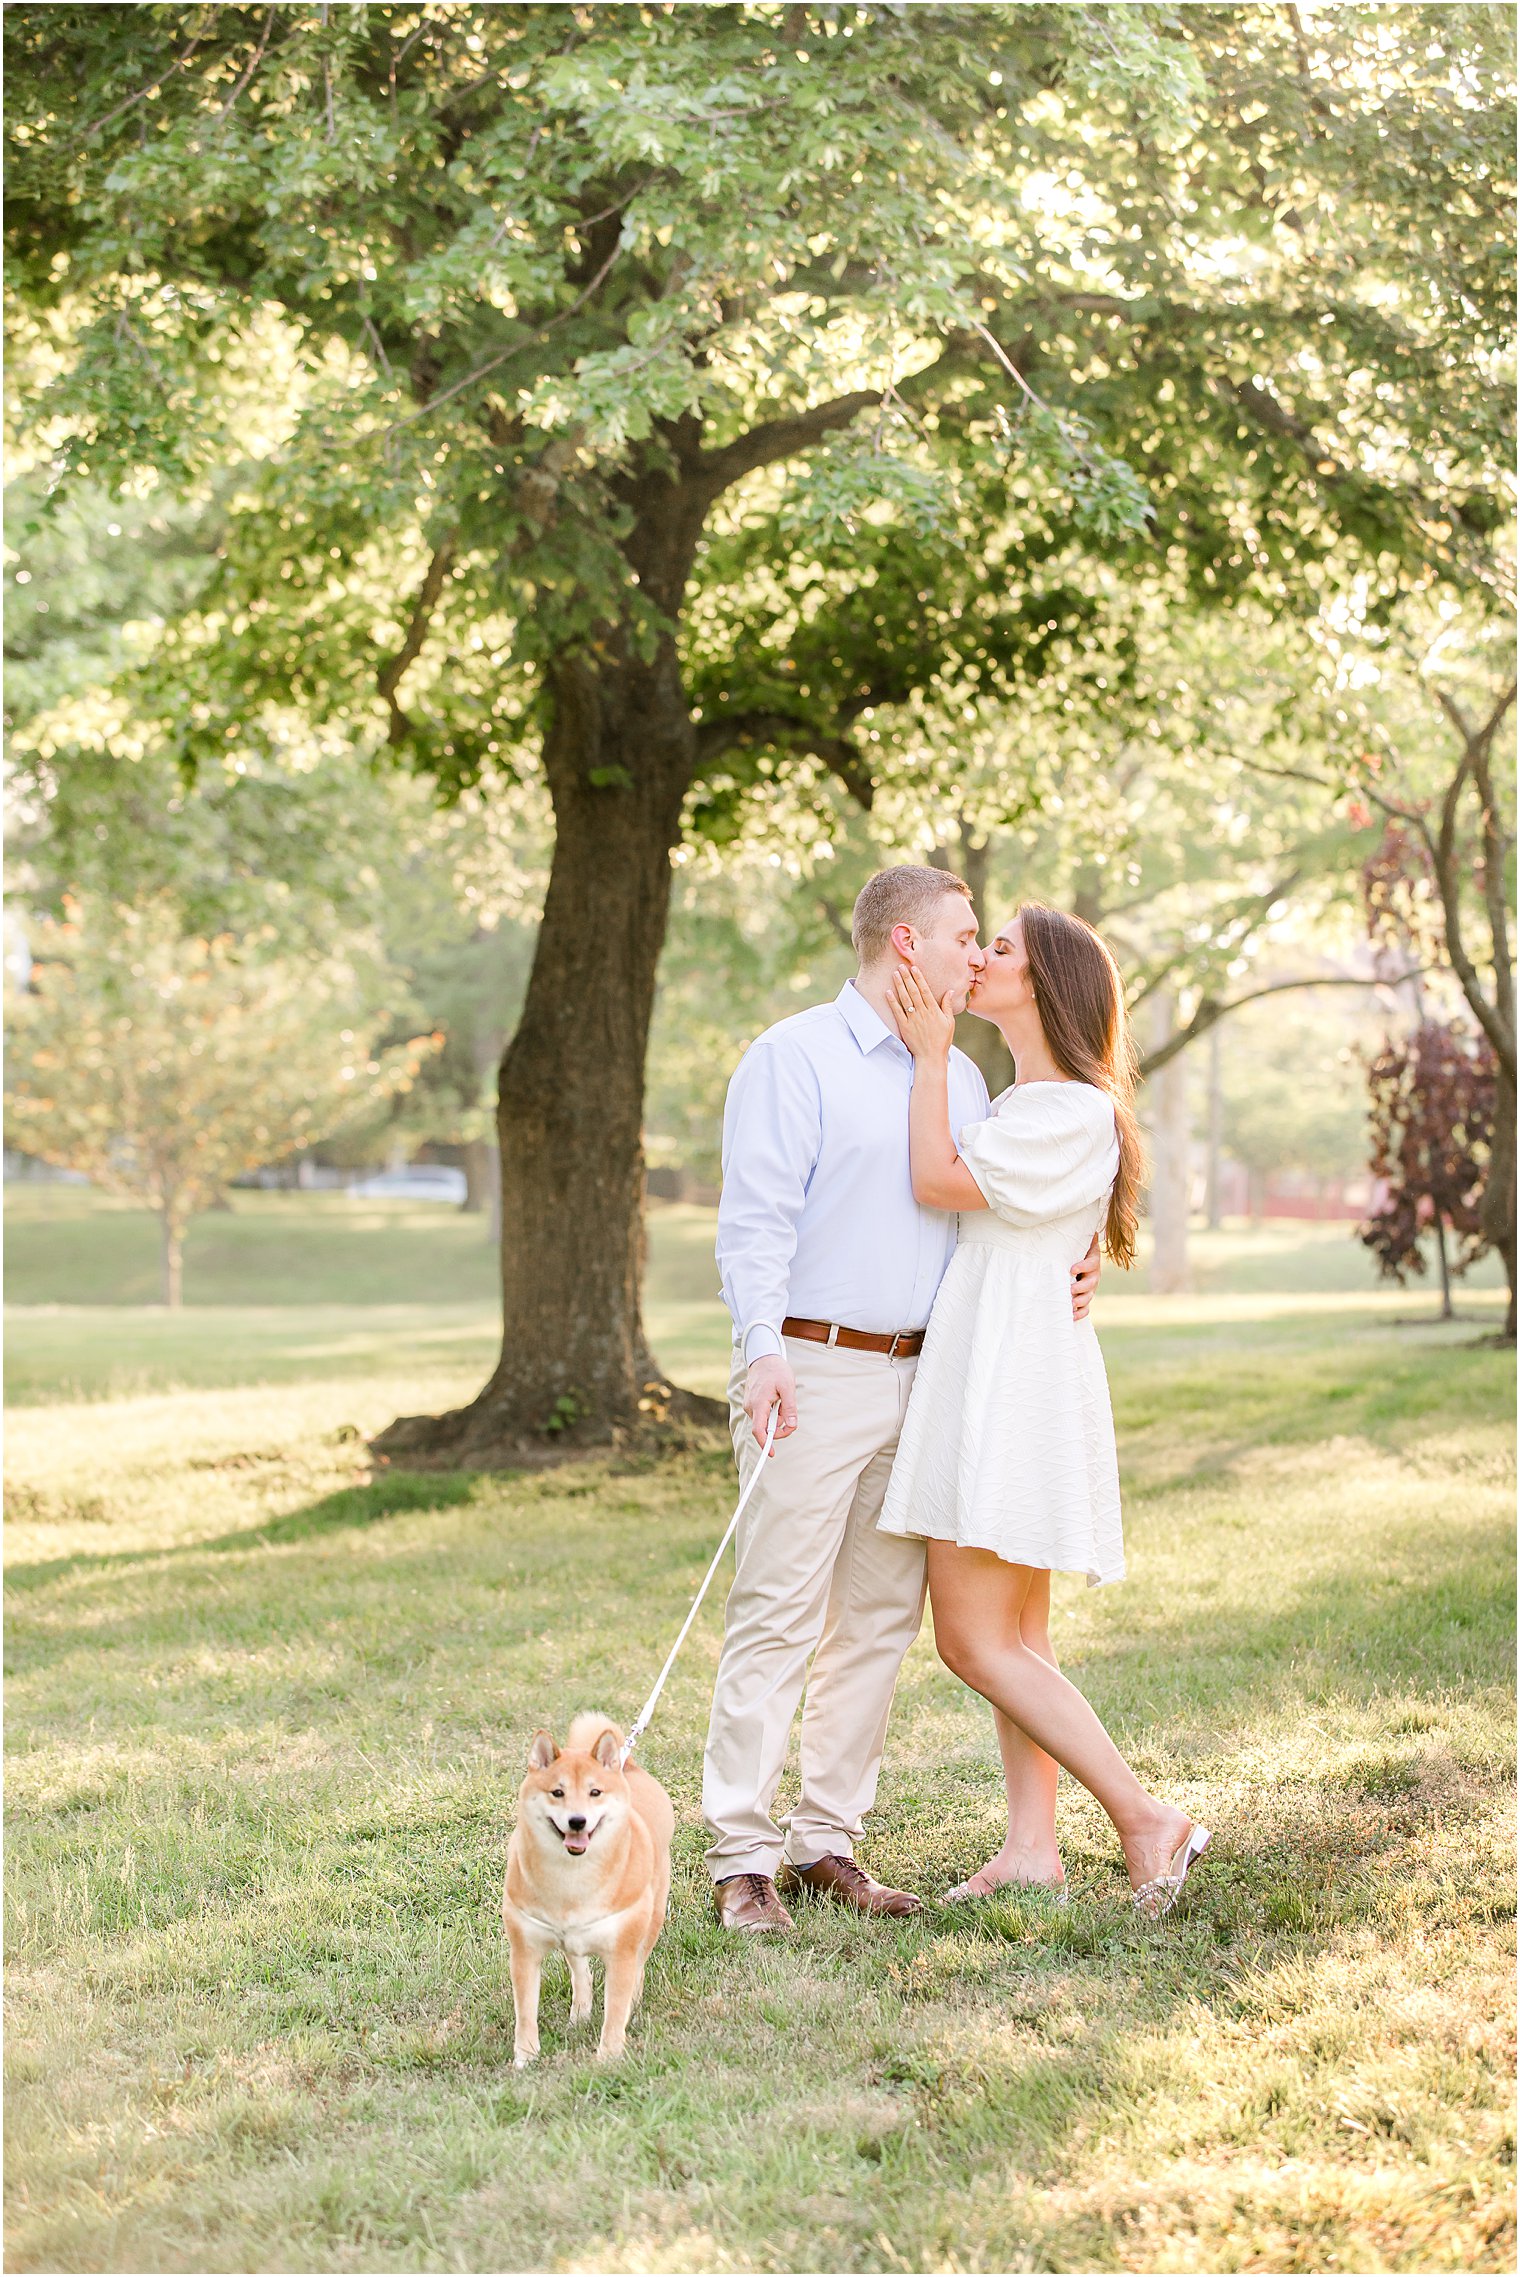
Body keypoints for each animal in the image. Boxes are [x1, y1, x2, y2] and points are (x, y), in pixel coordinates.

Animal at [500, 1712, 673, 2067]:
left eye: (595, 1792)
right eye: (557, 1792)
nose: (577, 1821)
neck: (572, 1880)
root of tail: (628, 1765)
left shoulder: (621, 1951)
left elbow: (616, 2009)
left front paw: (608, 2056)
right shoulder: (524, 1951)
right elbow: (525, 2012)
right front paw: (525, 2057)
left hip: (651, 1917)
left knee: (638, 1966)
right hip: (571, 1940)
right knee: (580, 1972)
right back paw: (580, 2013)